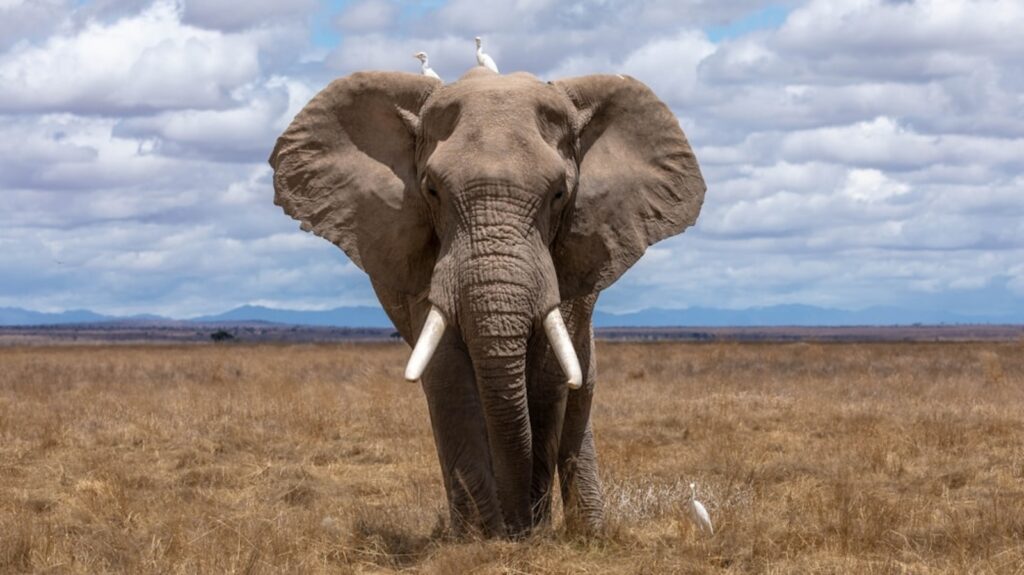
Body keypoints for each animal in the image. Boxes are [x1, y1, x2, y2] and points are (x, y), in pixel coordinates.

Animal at [268, 67, 706, 538]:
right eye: (432, 191)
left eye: (559, 194)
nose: (518, 527)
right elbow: (448, 376)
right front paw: (482, 539)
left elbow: (549, 378)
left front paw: (528, 533)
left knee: (580, 389)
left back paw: (588, 532)